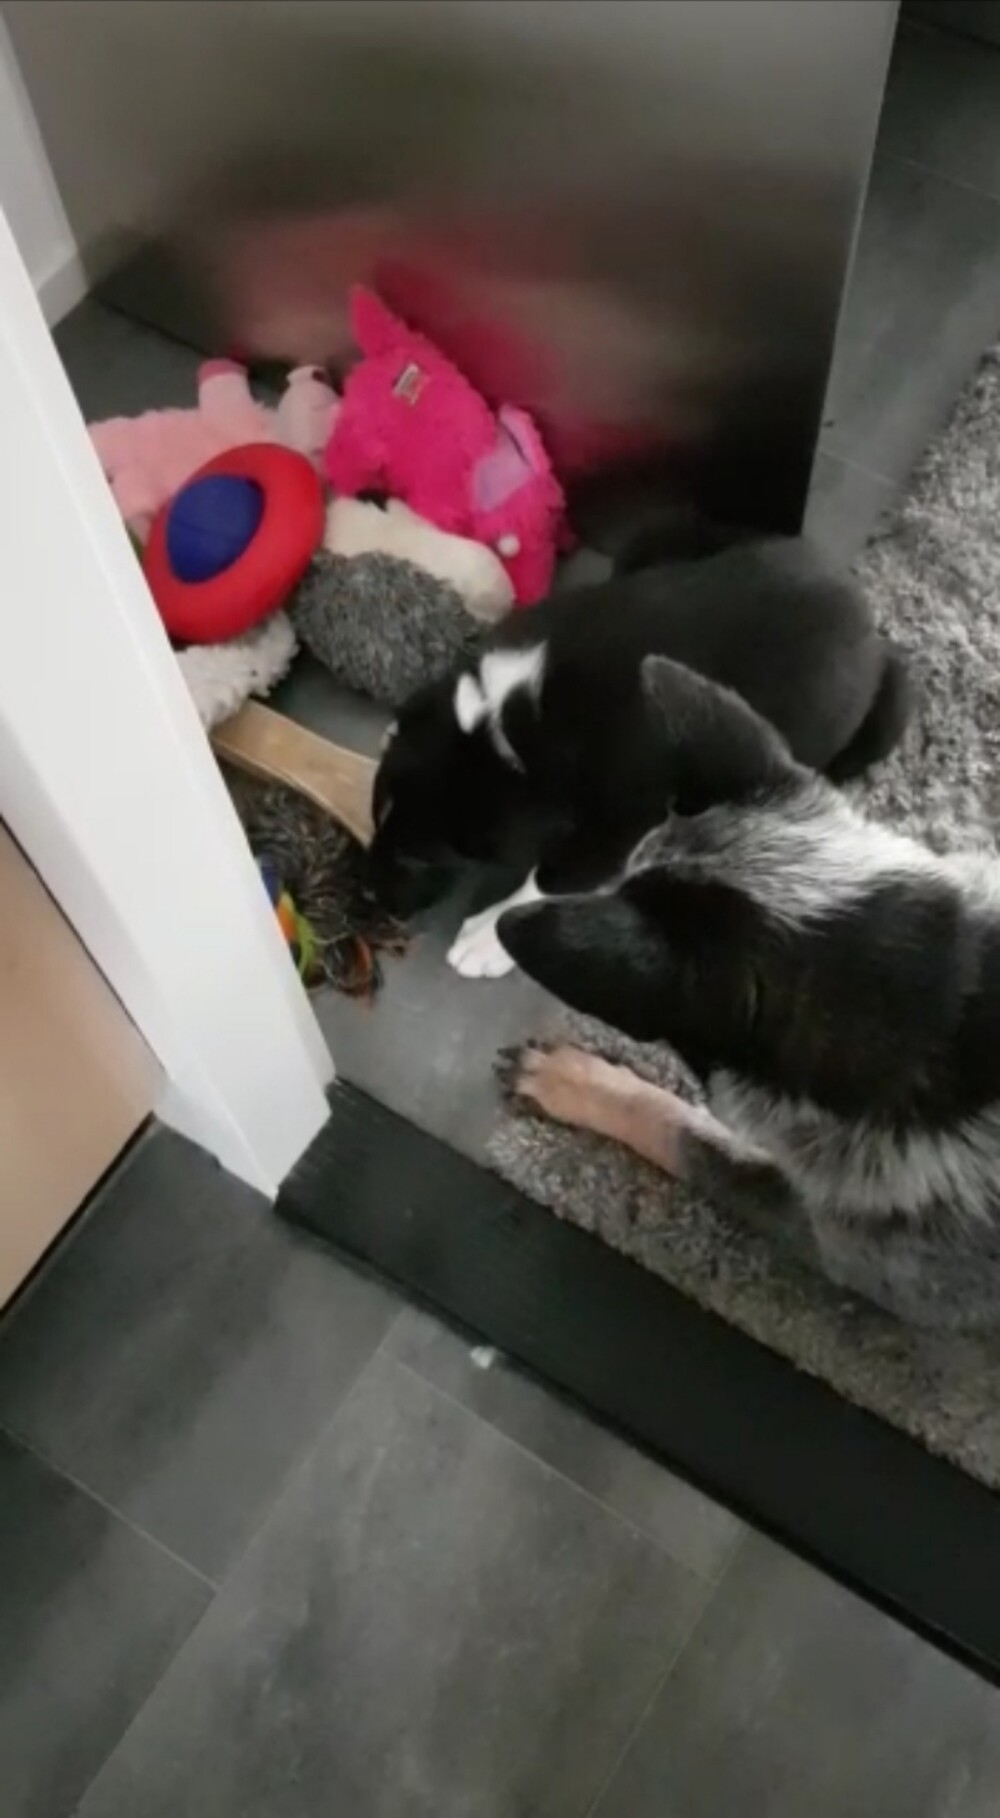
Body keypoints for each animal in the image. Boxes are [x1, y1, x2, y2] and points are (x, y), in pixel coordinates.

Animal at [370, 534, 910, 978]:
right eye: (377, 812)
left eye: (420, 857)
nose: (371, 895)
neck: (509, 723)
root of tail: (877, 637)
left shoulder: (622, 818)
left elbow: (553, 877)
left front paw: (489, 937)